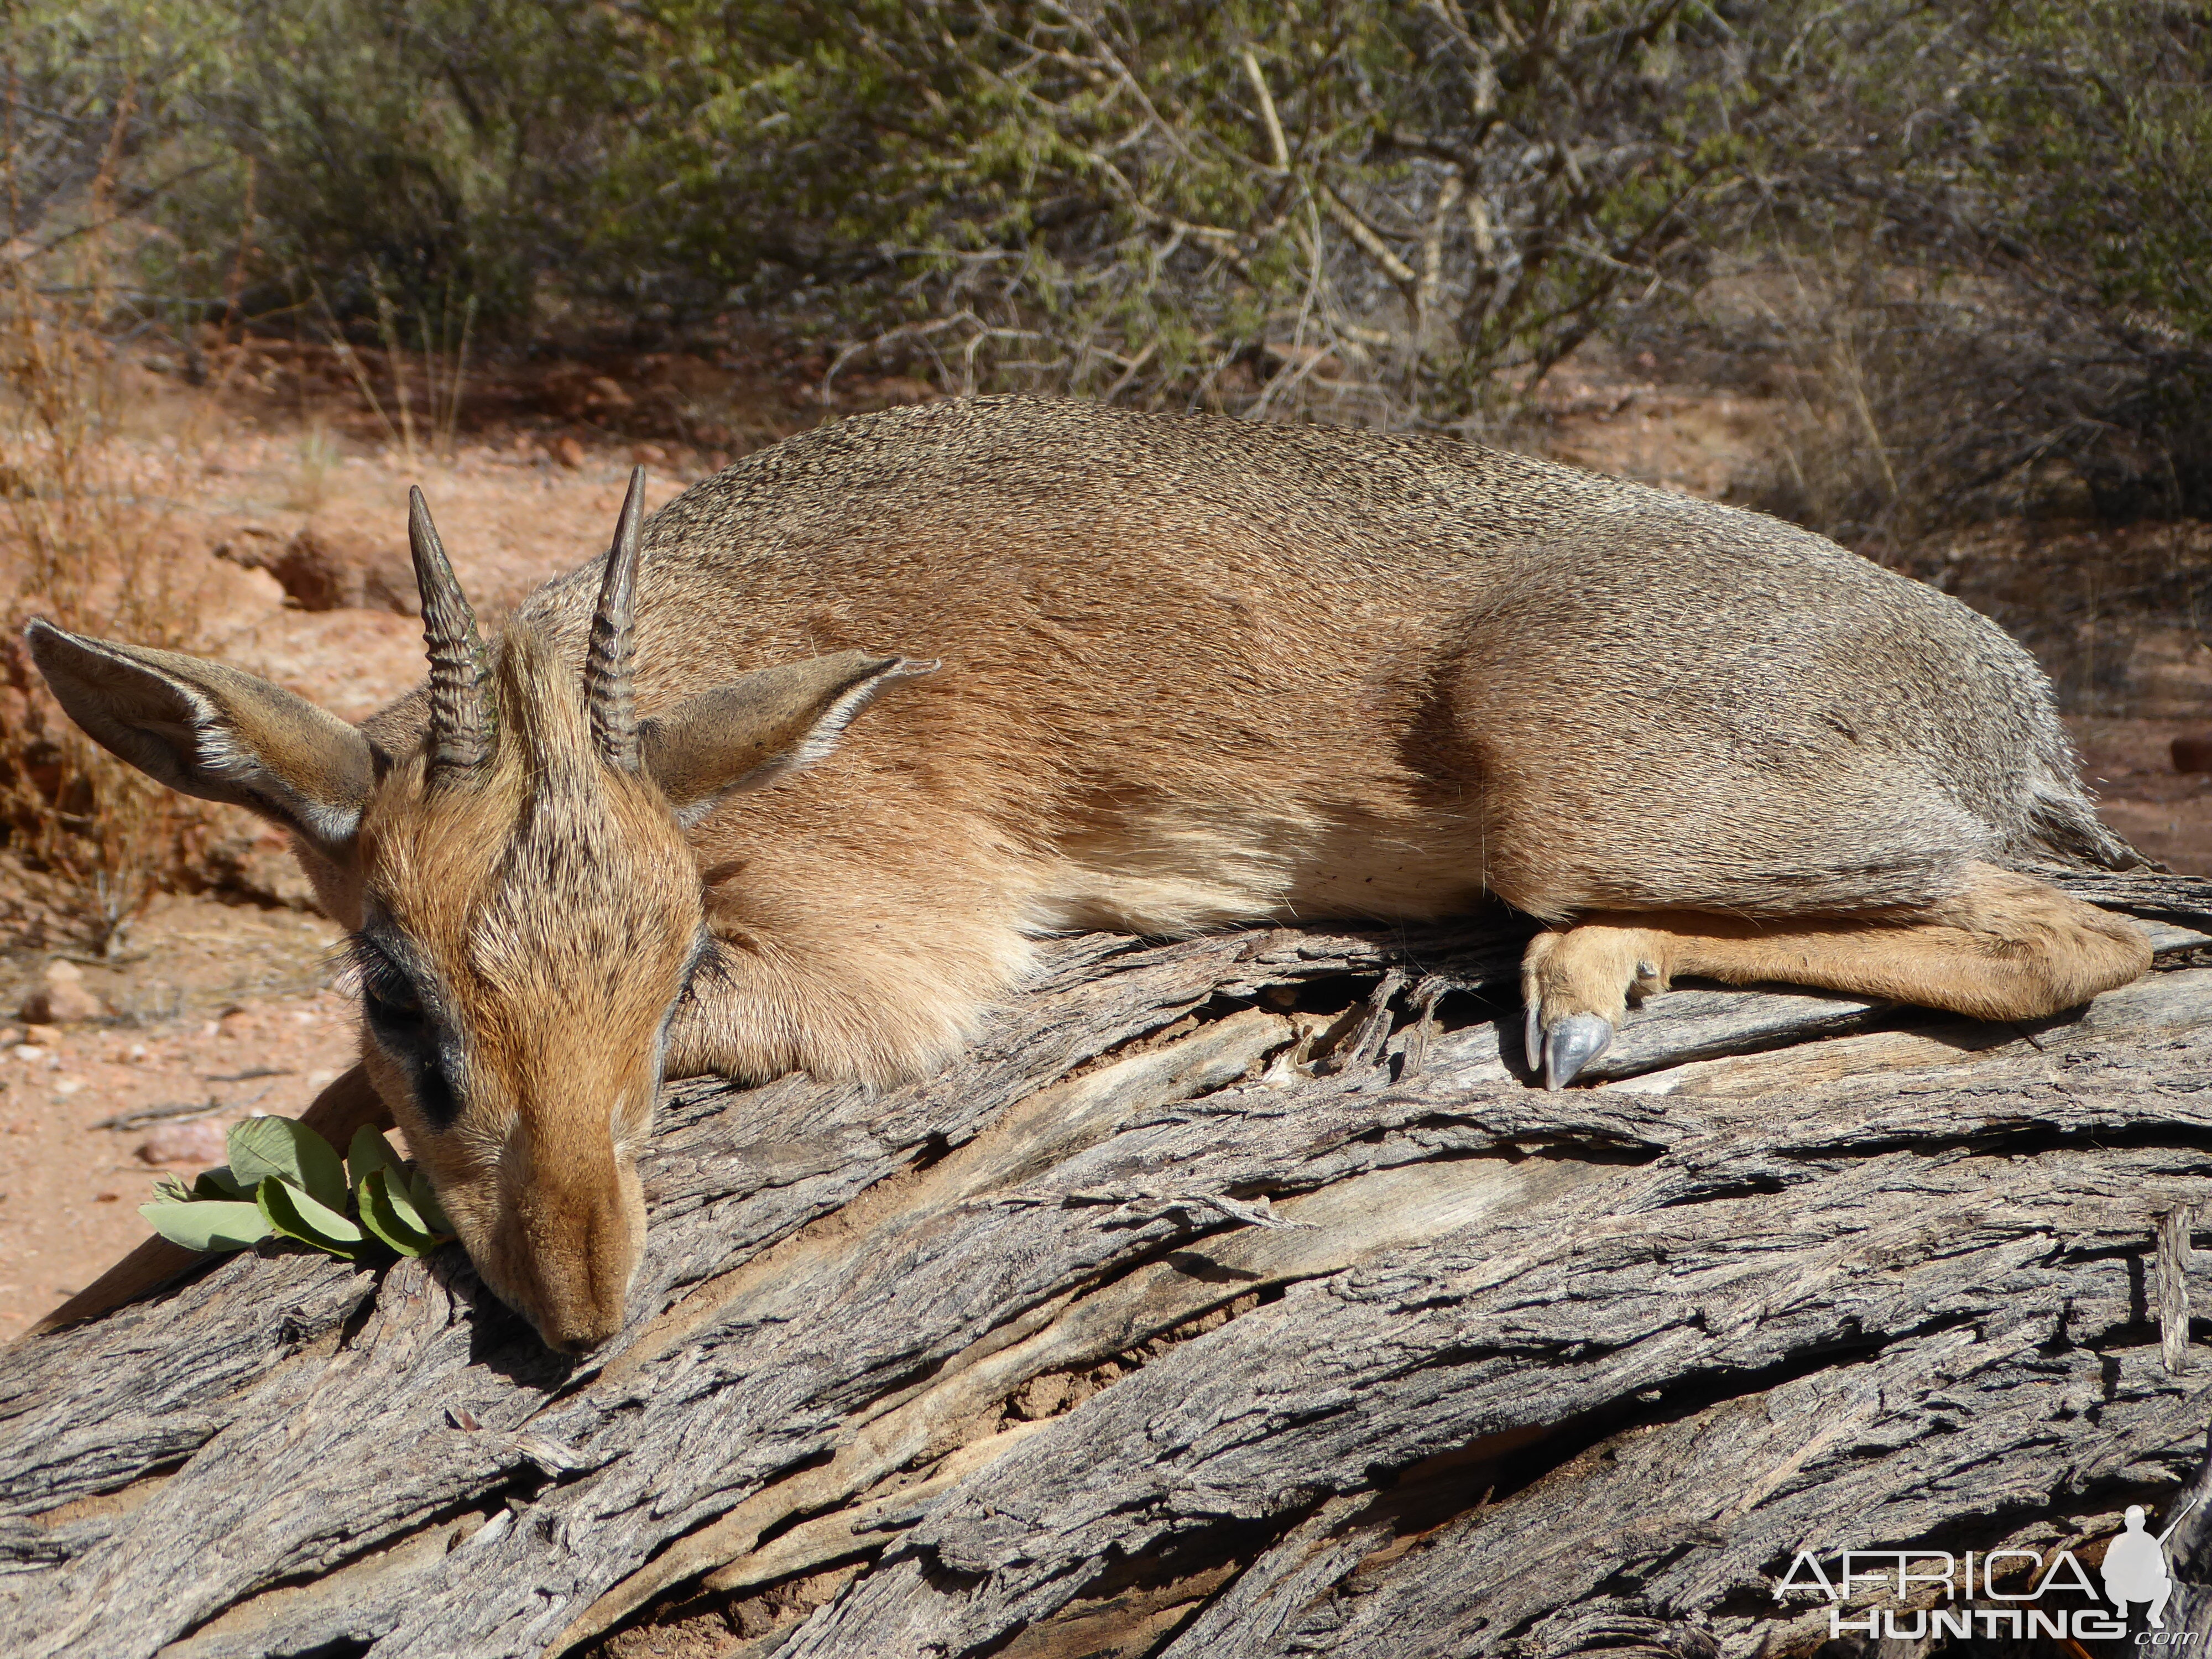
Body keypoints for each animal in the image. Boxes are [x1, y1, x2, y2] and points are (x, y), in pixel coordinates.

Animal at [26, 400, 2150, 1354]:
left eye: (677, 964)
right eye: (401, 988)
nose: (590, 1303)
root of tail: (2009, 694)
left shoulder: (903, 965)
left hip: (1587, 793)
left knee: (2076, 941)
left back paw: (1575, 989)